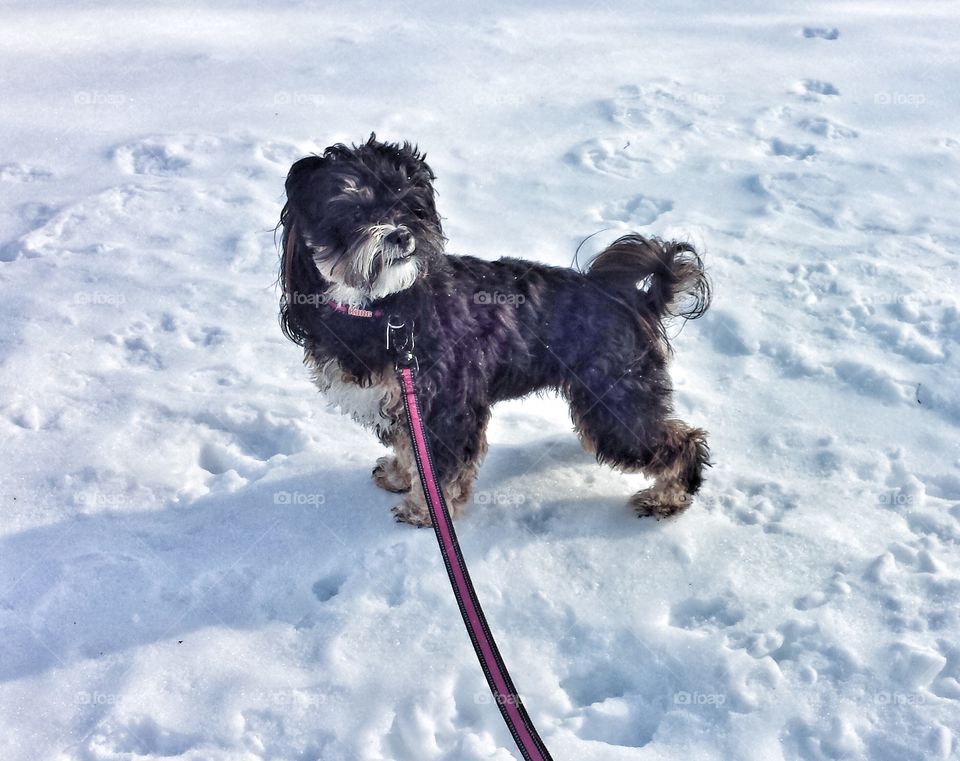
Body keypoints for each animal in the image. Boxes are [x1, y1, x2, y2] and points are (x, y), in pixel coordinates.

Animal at [274, 134, 708, 524]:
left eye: (410, 206)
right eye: (353, 212)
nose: (401, 234)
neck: (381, 308)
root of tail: (635, 299)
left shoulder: (447, 406)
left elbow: (441, 467)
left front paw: (425, 512)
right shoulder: (403, 402)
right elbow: (410, 449)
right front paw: (402, 478)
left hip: (617, 400)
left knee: (682, 442)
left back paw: (667, 498)